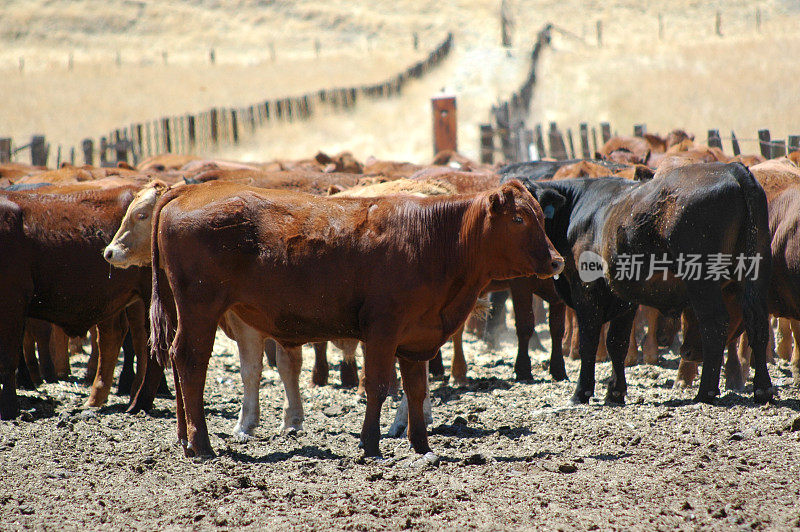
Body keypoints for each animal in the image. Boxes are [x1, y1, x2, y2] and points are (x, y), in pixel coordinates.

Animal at [150, 180, 564, 458]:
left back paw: (184, 438)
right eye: (518, 218)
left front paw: (421, 445)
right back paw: (201, 442)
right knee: (191, 361)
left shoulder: (415, 338)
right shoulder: (382, 332)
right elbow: (378, 386)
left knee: (177, 357)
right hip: (201, 307)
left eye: (539, 216)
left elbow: (416, 390)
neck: (431, 239)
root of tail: (186, 192)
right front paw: (370, 444)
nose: (558, 261)